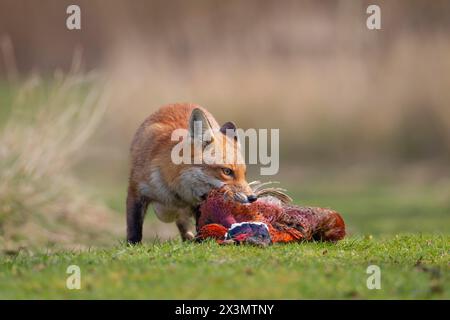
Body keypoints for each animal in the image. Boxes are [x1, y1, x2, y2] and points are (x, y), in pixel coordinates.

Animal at [126, 104, 256, 244]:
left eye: (244, 173)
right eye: (227, 171)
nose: (253, 198)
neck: (176, 195)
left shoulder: (200, 204)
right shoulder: (136, 191)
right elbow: (134, 227)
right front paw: (132, 245)